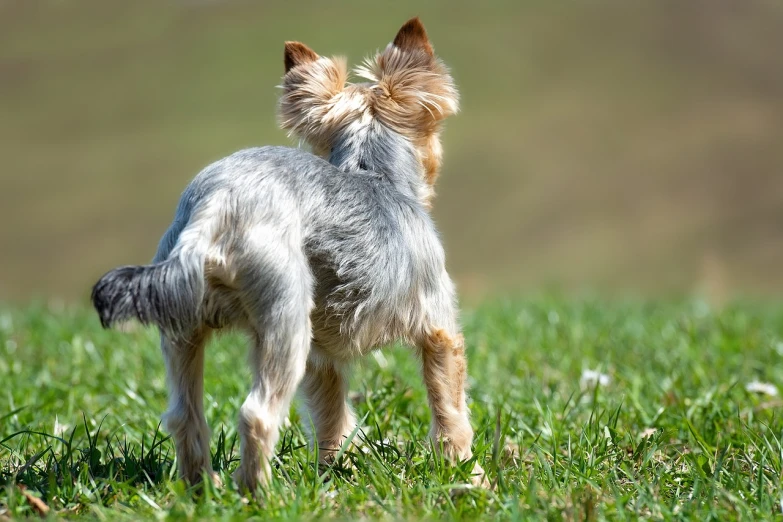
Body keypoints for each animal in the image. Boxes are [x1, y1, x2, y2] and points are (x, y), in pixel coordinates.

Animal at [92, 15, 484, 488]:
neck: (373, 173)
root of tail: (217, 206)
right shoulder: (439, 329)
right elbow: (450, 409)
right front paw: (466, 471)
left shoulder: (322, 358)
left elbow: (331, 417)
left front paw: (336, 470)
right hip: (285, 314)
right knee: (257, 414)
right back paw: (260, 493)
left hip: (183, 319)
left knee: (185, 416)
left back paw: (204, 488)